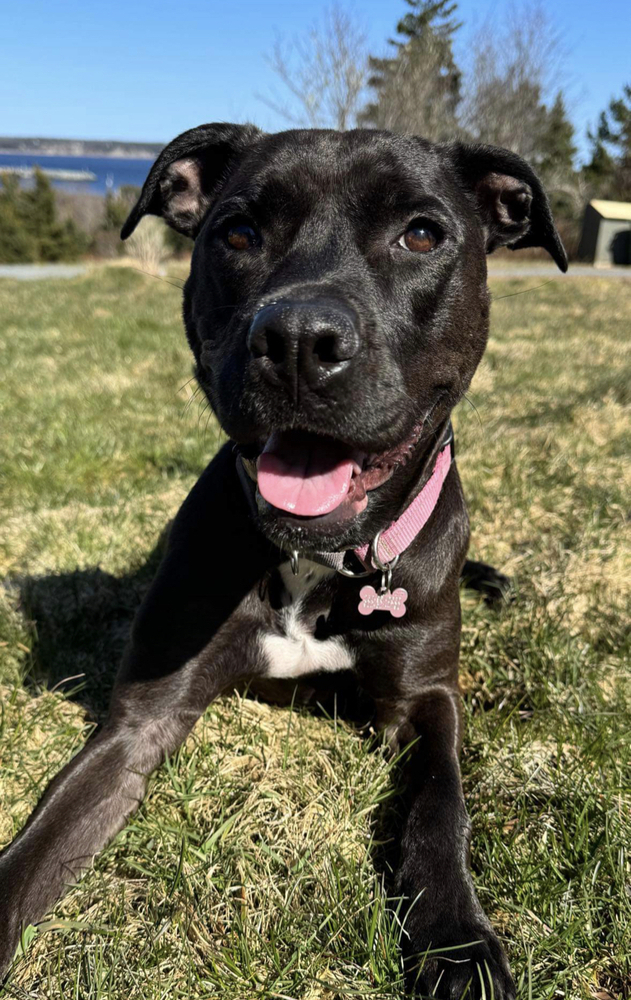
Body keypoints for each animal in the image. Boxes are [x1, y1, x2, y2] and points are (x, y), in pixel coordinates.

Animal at [0, 123, 568, 992]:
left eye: (421, 234)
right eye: (237, 232)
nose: (299, 339)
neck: (317, 559)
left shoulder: (425, 698)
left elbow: (439, 808)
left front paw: (457, 942)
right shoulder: (141, 720)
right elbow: (39, 846)